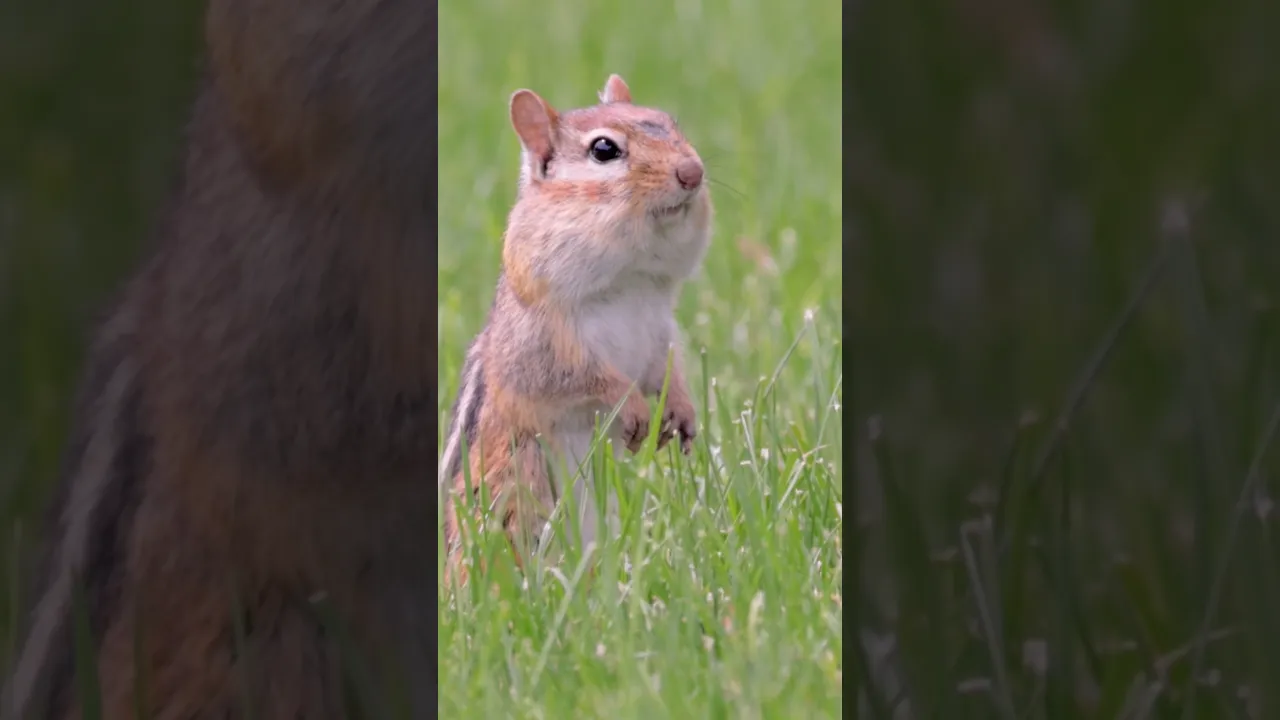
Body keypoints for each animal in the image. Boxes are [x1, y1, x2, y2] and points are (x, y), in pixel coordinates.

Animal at [438, 74, 713, 583]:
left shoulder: (659, 330)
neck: (630, 279)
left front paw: (682, 410)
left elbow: (668, 370)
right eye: (604, 149)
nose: (692, 172)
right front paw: (631, 407)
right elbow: (582, 378)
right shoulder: (545, 346)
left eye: (670, 123)